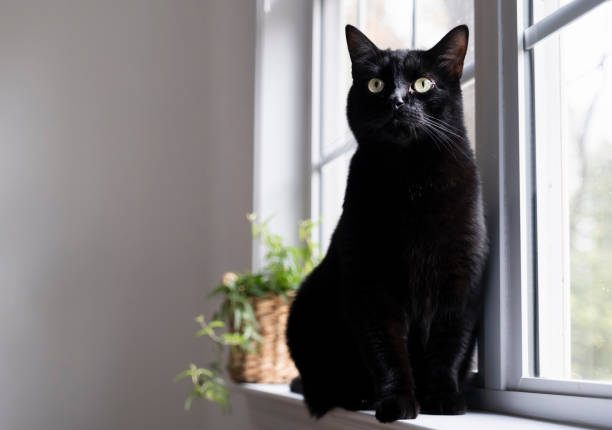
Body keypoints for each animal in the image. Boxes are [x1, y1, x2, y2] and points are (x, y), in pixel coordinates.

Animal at [286, 24, 488, 424]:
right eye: (375, 84)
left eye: (423, 84)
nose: (396, 100)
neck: (411, 180)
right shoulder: (370, 285)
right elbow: (386, 350)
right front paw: (397, 402)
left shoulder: (461, 279)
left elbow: (449, 345)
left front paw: (443, 398)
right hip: (304, 308)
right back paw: (358, 396)